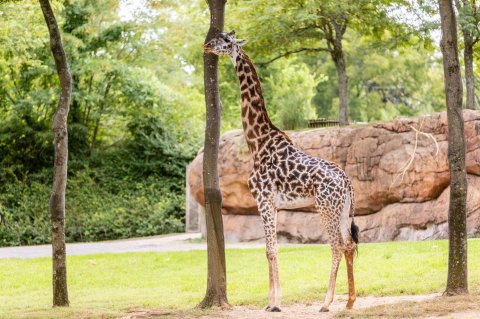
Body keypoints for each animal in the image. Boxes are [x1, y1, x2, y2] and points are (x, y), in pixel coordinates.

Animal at [204, 31, 358, 312]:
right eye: (218, 37)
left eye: (226, 42)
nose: (207, 45)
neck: (257, 142)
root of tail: (347, 182)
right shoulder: (273, 204)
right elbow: (272, 249)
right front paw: (271, 301)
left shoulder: (263, 200)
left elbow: (270, 250)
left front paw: (274, 303)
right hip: (342, 210)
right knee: (349, 244)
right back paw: (350, 301)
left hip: (325, 207)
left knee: (337, 246)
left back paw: (326, 302)